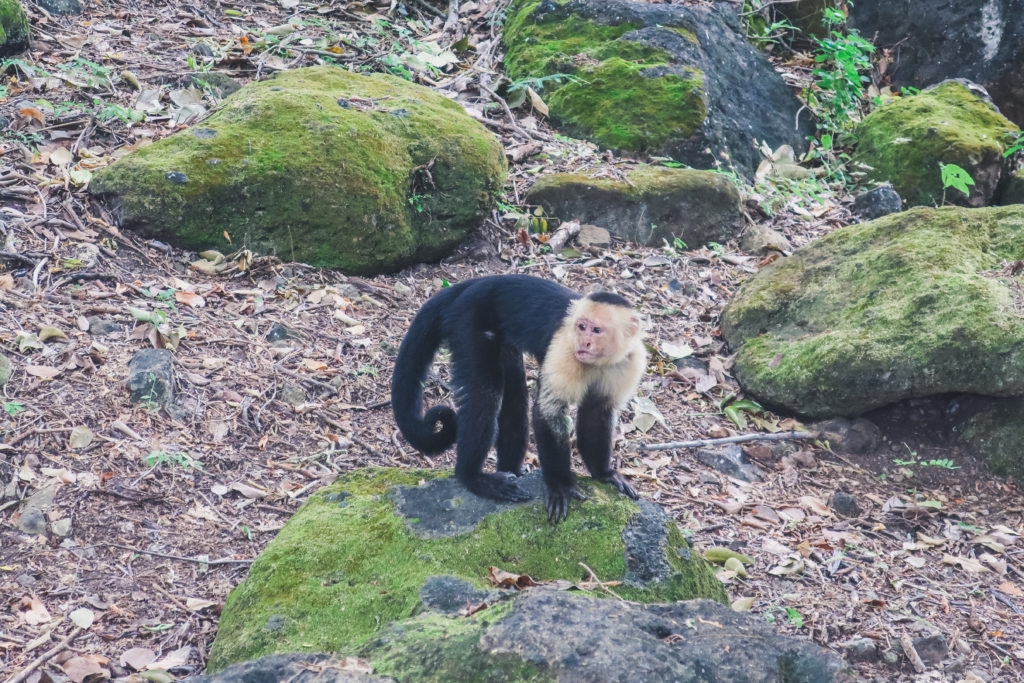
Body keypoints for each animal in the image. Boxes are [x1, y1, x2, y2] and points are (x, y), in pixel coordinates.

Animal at [391, 274, 647, 520]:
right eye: (581, 326)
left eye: (596, 330)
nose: (584, 342)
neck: (599, 361)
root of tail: (481, 282)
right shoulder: (565, 348)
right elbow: (548, 411)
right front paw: (560, 485)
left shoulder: (630, 361)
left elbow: (597, 412)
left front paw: (604, 474)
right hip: (468, 321)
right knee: (486, 395)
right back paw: (473, 477)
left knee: (514, 398)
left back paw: (511, 469)